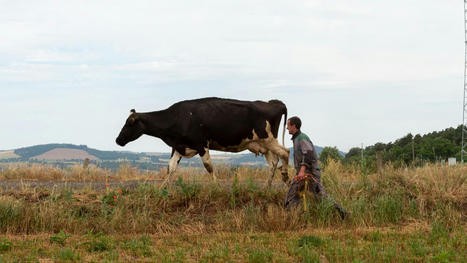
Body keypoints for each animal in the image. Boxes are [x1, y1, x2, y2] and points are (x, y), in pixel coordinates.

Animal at [115, 97, 290, 188]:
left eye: (129, 123)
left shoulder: (201, 145)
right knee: (273, 162)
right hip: (263, 145)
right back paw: (267, 185)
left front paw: (216, 186)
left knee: (285, 153)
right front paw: (163, 187)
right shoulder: (179, 146)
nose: (118, 140)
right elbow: (170, 168)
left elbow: (209, 167)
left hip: (268, 139)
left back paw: (285, 177)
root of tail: (273, 103)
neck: (178, 118)